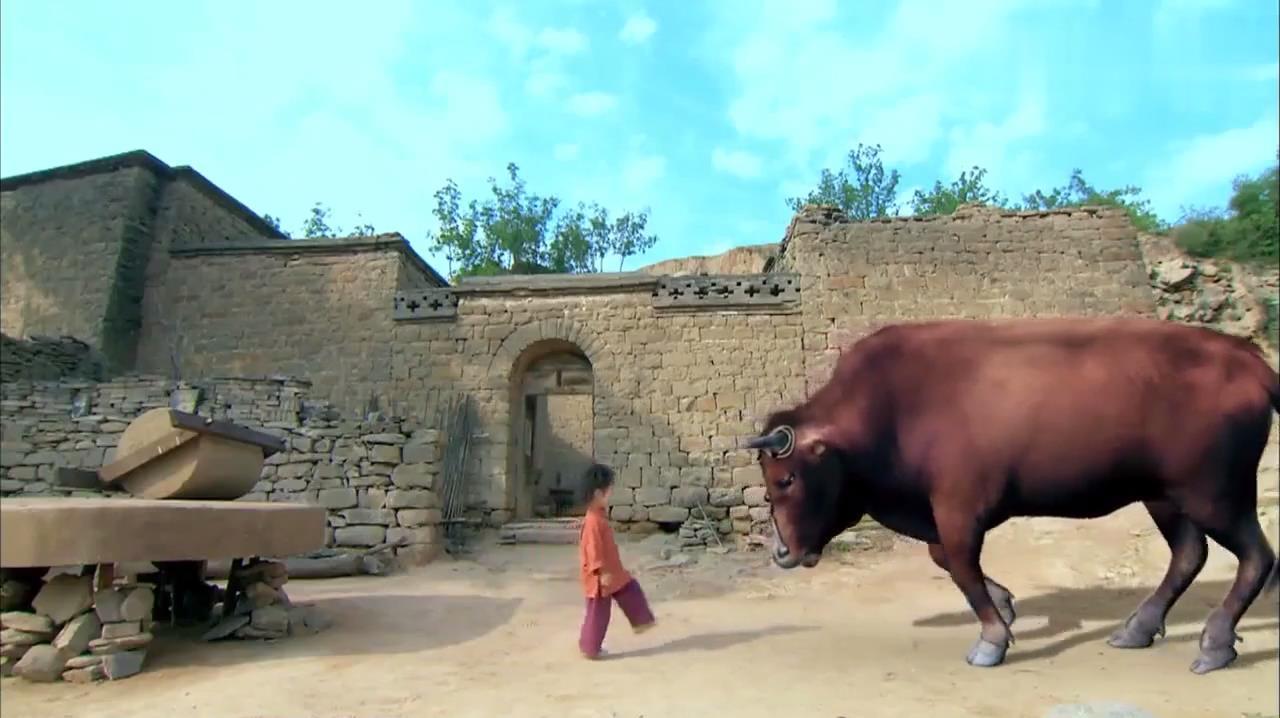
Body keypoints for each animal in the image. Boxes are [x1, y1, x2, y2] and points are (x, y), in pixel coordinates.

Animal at [747, 316, 1274, 670]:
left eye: (786, 479)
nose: (782, 553)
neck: (890, 405)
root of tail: (1249, 361)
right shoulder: (935, 512)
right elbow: (944, 557)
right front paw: (1004, 604)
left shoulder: (959, 509)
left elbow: (961, 566)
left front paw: (991, 640)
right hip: (1164, 496)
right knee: (1189, 554)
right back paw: (1136, 629)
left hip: (1215, 496)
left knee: (1256, 556)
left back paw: (1215, 644)